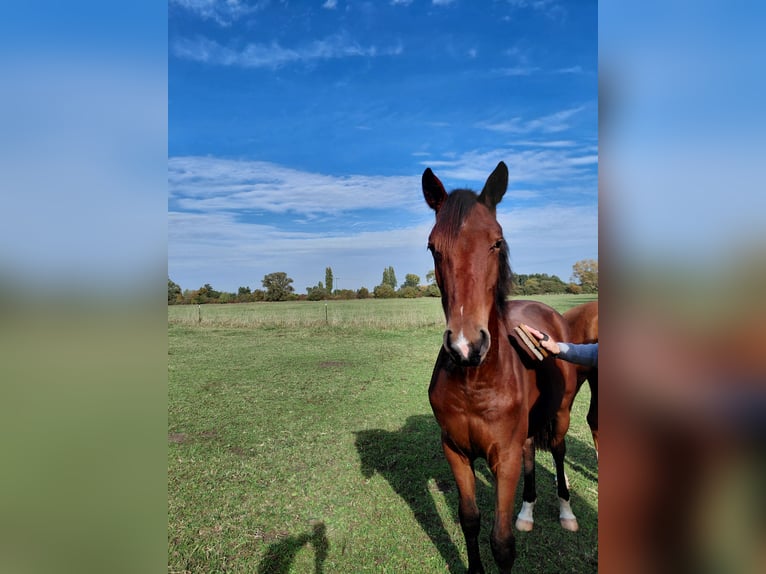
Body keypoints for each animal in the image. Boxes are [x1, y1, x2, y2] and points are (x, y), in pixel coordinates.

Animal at [423, 161, 580, 573]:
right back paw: (526, 513)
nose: (466, 346)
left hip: (561, 414)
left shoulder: (503, 459)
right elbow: (470, 521)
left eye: (496, 242)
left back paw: (566, 513)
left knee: (557, 452)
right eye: (433, 247)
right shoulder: (456, 451)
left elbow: (502, 542)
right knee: (530, 455)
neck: (476, 381)